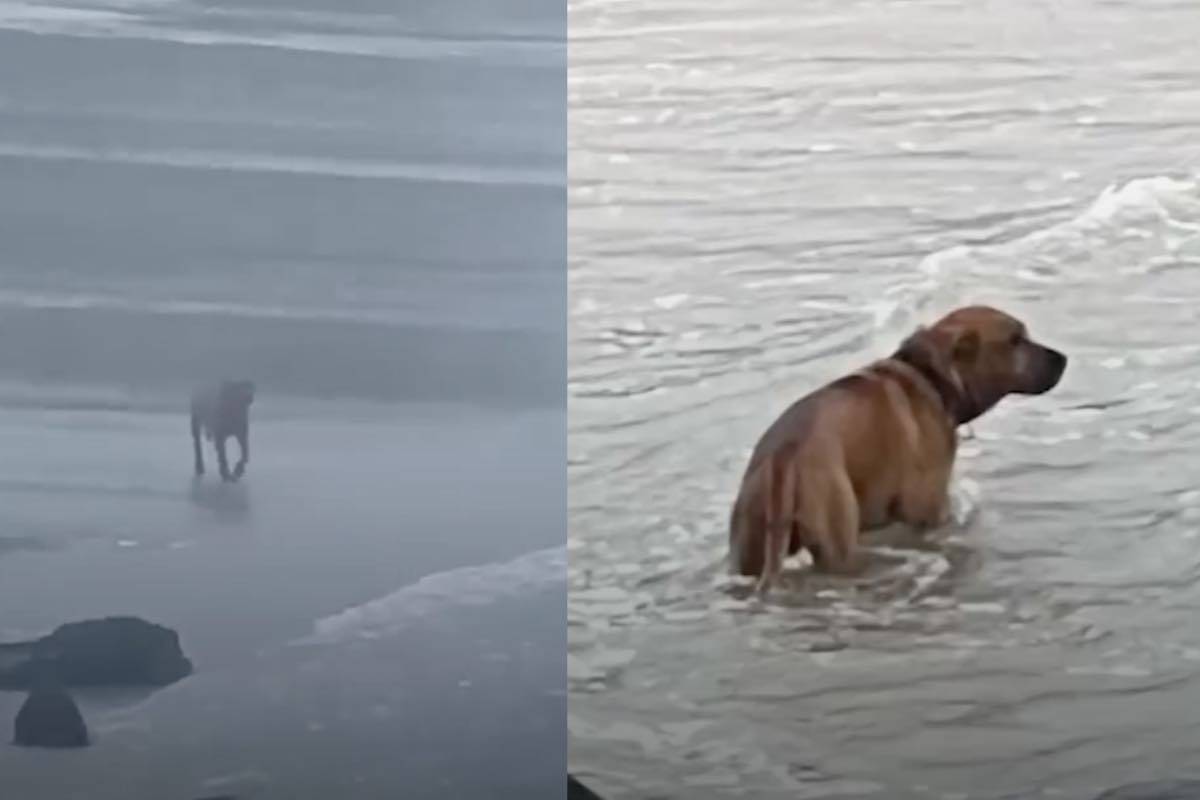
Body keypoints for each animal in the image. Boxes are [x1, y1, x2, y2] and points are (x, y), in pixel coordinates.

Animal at [724, 307, 1065, 594]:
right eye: (1016, 340)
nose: (1063, 358)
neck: (934, 378)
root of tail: (786, 451)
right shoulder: (930, 510)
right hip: (836, 535)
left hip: (751, 540)